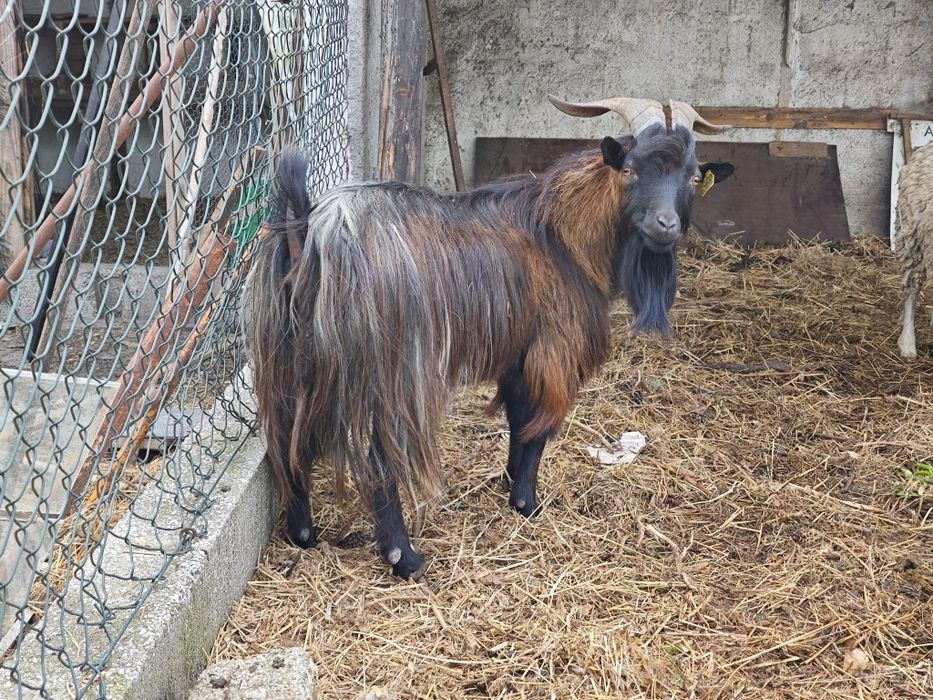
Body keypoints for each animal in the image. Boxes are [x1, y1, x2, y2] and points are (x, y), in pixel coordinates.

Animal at [246, 96, 735, 578]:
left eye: (693, 176)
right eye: (630, 168)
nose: (666, 225)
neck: (561, 234)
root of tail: (313, 230)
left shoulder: (520, 353)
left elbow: (519, 419)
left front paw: (509, 483)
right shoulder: (553, 350)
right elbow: (539, 428)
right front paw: (528, 503)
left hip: (288, 356)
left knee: (286, 438)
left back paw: (302, 533)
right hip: (391, 367)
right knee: (380, 453)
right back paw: (405, 558)